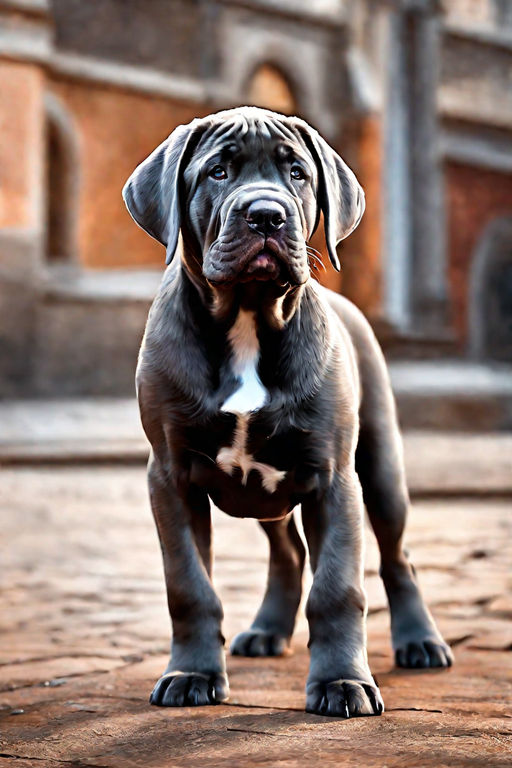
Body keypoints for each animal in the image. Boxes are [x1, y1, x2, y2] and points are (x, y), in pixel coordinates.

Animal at [123, 105, 452, 716]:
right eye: (218, 172)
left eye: (297, 174)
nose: (267, 215)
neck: (249, 319)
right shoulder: (171, 477)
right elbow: (189, 584)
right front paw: (191, 673)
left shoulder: (334, 479)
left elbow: (339, 588)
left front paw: (342, 682)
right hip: (262, 494)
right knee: (290, 552)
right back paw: (267, 630)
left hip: (381, 471)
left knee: (397, 559)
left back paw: (420, 642)